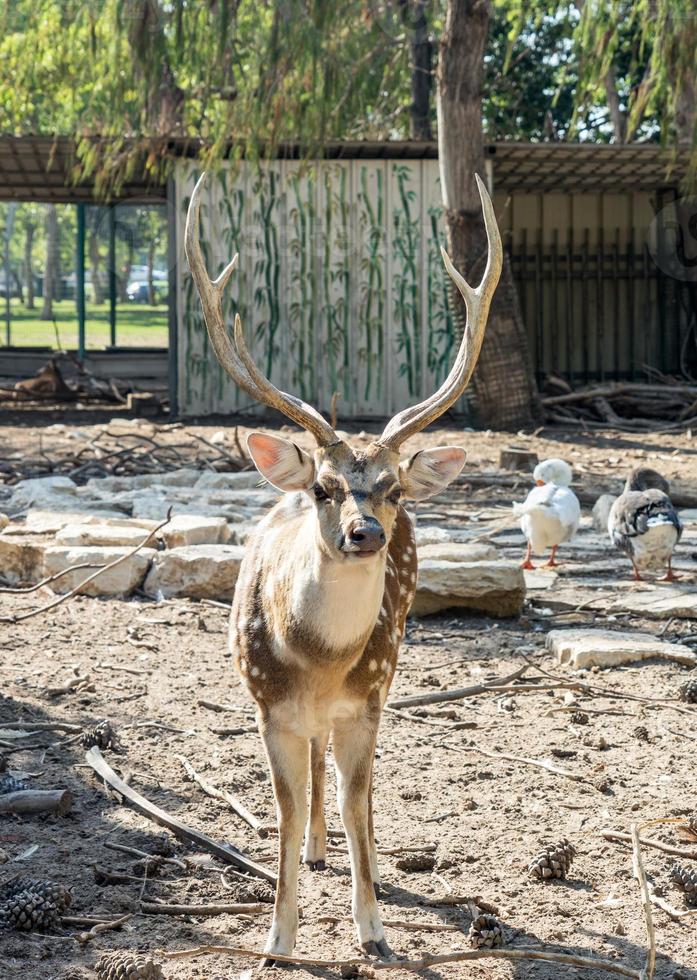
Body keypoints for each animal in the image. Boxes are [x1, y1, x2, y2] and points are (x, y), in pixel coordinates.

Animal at [185, 172, 500, 960]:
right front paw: (277, 937)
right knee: (312, 772)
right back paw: (315, 852)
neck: (319, 661)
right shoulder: (267, 706)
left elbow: (362, 802)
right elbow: (286, 809)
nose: (365, 531)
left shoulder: (370, 700)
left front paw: (375, 929)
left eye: (392, 488)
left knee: (339, 770)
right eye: (324, 487)